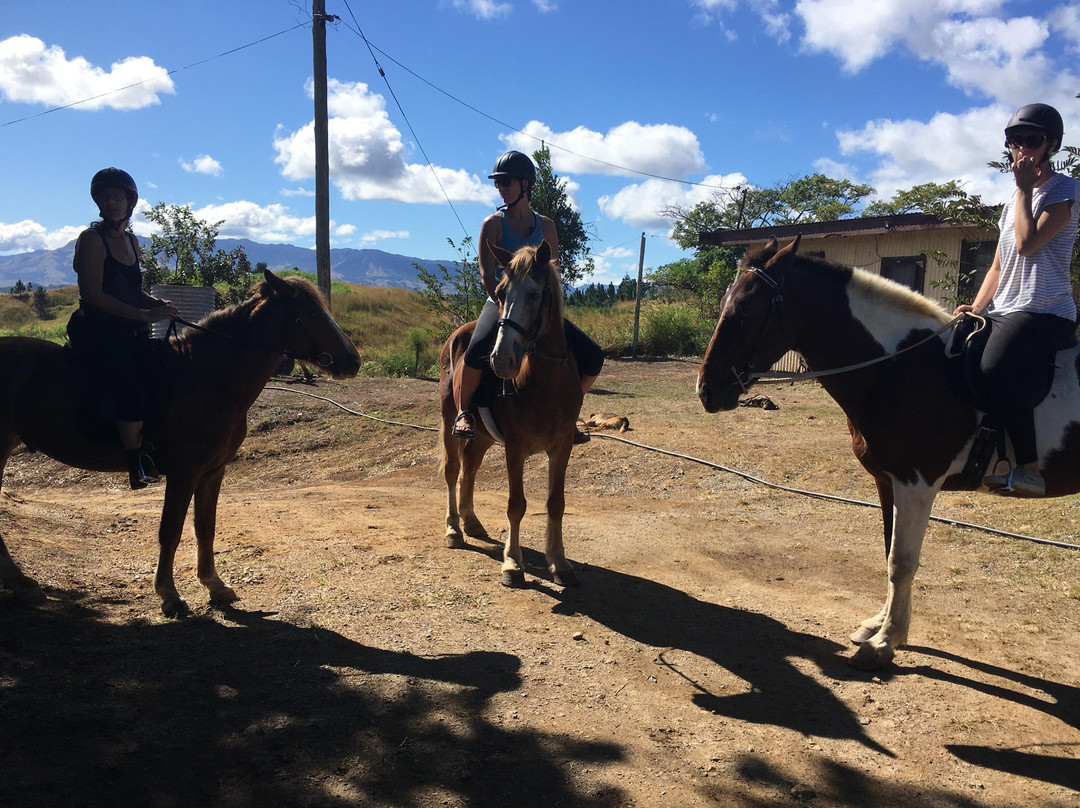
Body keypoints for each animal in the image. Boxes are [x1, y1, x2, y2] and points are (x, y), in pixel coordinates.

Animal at [0, 270, 360, 617]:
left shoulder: (212, 472)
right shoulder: (183, 473)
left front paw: (215, 585)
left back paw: (21, 584)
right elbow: (171, 530)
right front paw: (169, 595)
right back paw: (20, 582)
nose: (353, 361)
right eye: (308, 314)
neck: (205, 378)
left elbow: (205, 527)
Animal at [439, 240, 583, 588]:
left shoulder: (562, 447)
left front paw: (559, 563)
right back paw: (453, 529)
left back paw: (471, 522)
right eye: (500, 293)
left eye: (534, 293)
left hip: (483, 436)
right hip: (450, 420)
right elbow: (516, 505)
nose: (500, 359)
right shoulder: (515, 448)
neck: (545, 383)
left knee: (469, 468)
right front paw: (512, 564)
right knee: (452, 470)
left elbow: (555, 503)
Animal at [696, 237, 1080, 670]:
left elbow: (902, 560)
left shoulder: (917, 484)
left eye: (747, 309)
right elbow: (889, 552)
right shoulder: (888, 482)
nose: (706, 390)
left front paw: (885, 642)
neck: (906, 368)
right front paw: (882, 626)